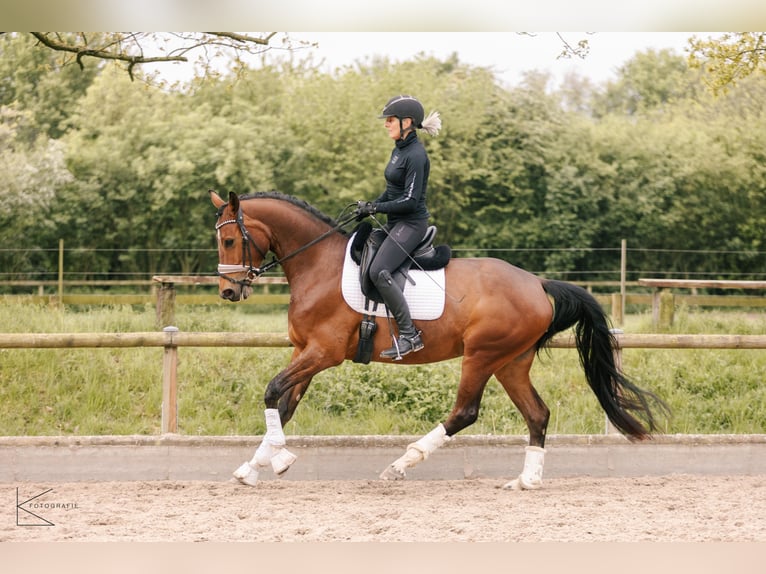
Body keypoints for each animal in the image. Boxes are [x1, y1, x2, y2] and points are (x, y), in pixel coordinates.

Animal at [209, 190, 668, 489]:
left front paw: (280, 459)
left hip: (481, 356)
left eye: (230, 239)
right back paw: (526, 481)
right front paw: (255, 466)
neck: (317, 264)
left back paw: (401, 464)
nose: (229, 292)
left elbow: (273, 392)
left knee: (465, 412)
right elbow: (283, 405)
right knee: (537, 415)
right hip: (511, 362)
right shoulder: (304, 351)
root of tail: (537, 283)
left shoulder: (324, 352)